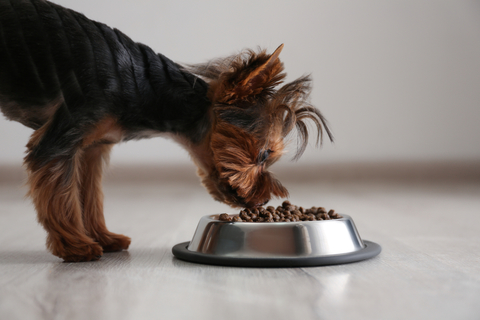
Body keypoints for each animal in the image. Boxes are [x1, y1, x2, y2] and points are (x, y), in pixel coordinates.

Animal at [0, 0, 332, 262]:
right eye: (264, 154)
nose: (263, 202)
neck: (145, 87)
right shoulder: (63, 138)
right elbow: (62, 197)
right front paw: (76, 246)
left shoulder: (92, 147)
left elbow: (89, 194)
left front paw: (104, 238)